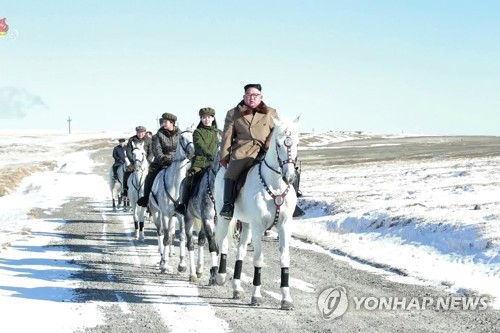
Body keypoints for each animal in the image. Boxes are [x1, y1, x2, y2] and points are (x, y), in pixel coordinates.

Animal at [147, 127, 194, 272]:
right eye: (182, 138)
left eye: (193, 136)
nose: (192, 152)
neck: (176, 184)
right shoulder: (166, 214)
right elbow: (166, 238)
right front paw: (165, 264)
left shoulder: (180, 215)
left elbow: (182, 236)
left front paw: (182, 264)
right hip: (156, 213)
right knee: (161, 232)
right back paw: (162, 258)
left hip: (173, 216)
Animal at [214, 116, 298, 308]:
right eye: (279, 144)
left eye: (296, 143)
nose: (290, 177)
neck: (275, 185)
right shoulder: (259, 226)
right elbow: (258, 259)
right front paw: (257, 295)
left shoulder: (285, 226)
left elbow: (285, 258)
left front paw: (286, 298)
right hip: (224, 218)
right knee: (222, 243)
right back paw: (220, 276)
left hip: (246, 224)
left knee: (240, 252)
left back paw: (237, 288)